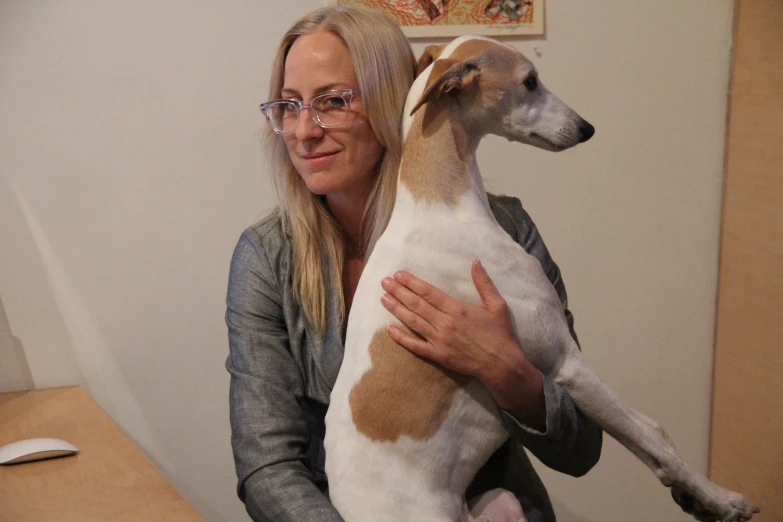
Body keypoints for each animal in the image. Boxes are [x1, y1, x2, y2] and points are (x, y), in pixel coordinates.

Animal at [324, 34, 760, 516]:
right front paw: (722, 499)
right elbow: (654, 436)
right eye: (530, 81)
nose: (586, 128)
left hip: (502, 501)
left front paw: (697, 498)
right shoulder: (565, 361)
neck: (440, 203)